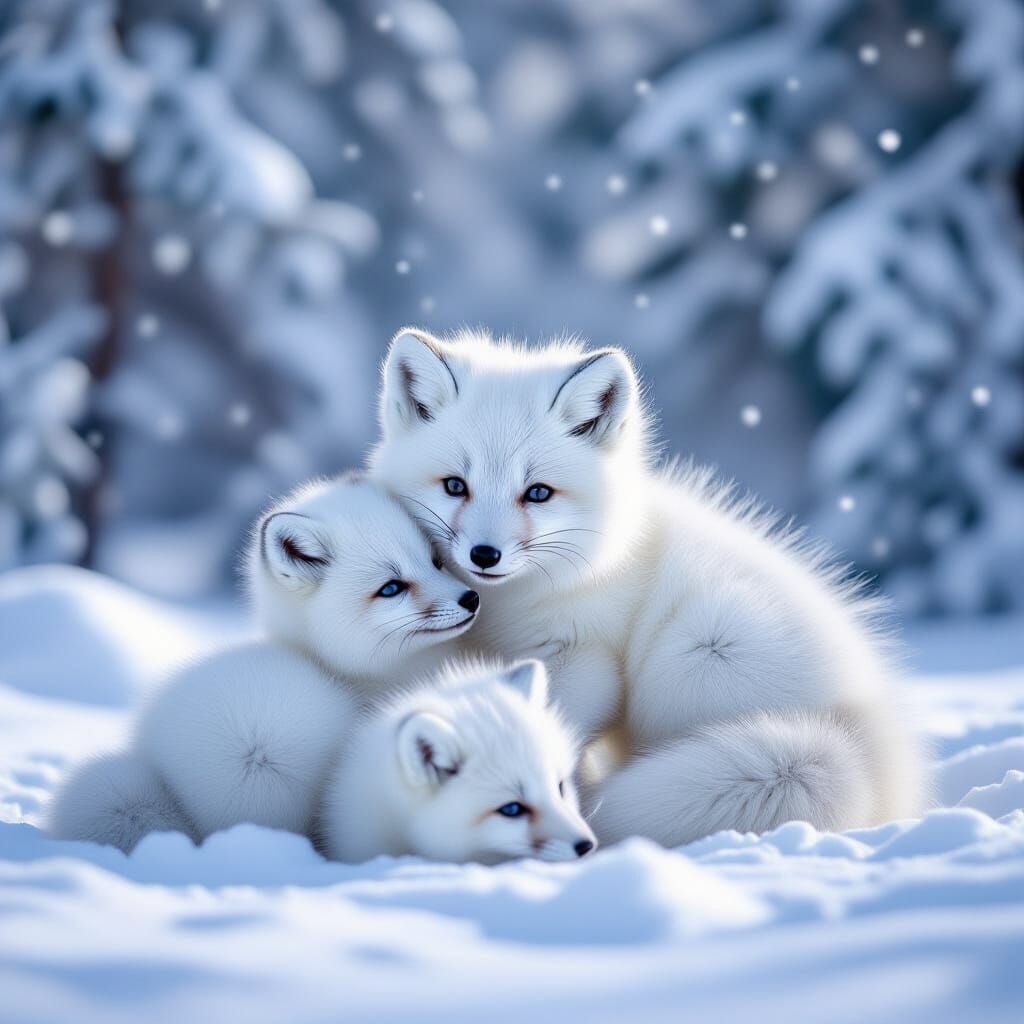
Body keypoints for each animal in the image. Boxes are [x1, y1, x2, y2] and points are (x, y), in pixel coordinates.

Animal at [369, 327, 929, 848]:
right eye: (455, 485)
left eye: (538, 493)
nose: (485, 555)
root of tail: (871, 757)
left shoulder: (584, 661)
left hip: (697, 654)